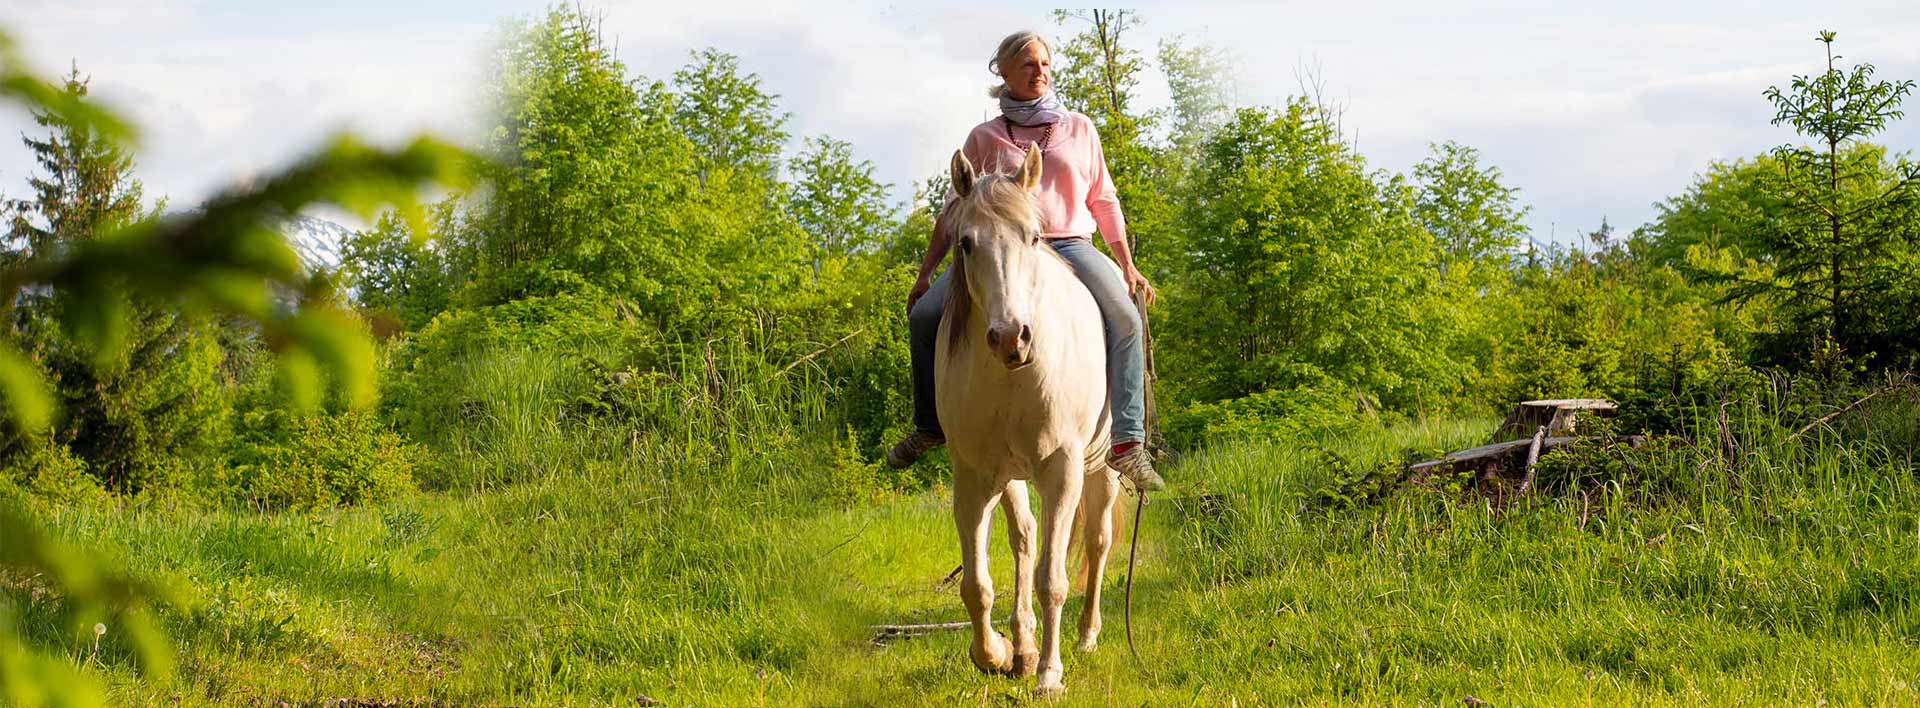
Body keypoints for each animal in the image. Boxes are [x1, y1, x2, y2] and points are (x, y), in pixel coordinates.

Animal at [933, 141, 1121, 694]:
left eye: (1033, 237)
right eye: (965, 243)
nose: (1010, 336)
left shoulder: (1062, 470)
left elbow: (1052, 580)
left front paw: (1049, 676)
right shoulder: (974, 478)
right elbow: (976, 584)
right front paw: (996, 654)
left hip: (1104, 468)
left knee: (1097, 541)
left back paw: (1084, 636)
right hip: (1011, 475)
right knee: (1025, 536)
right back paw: (1023, 644)